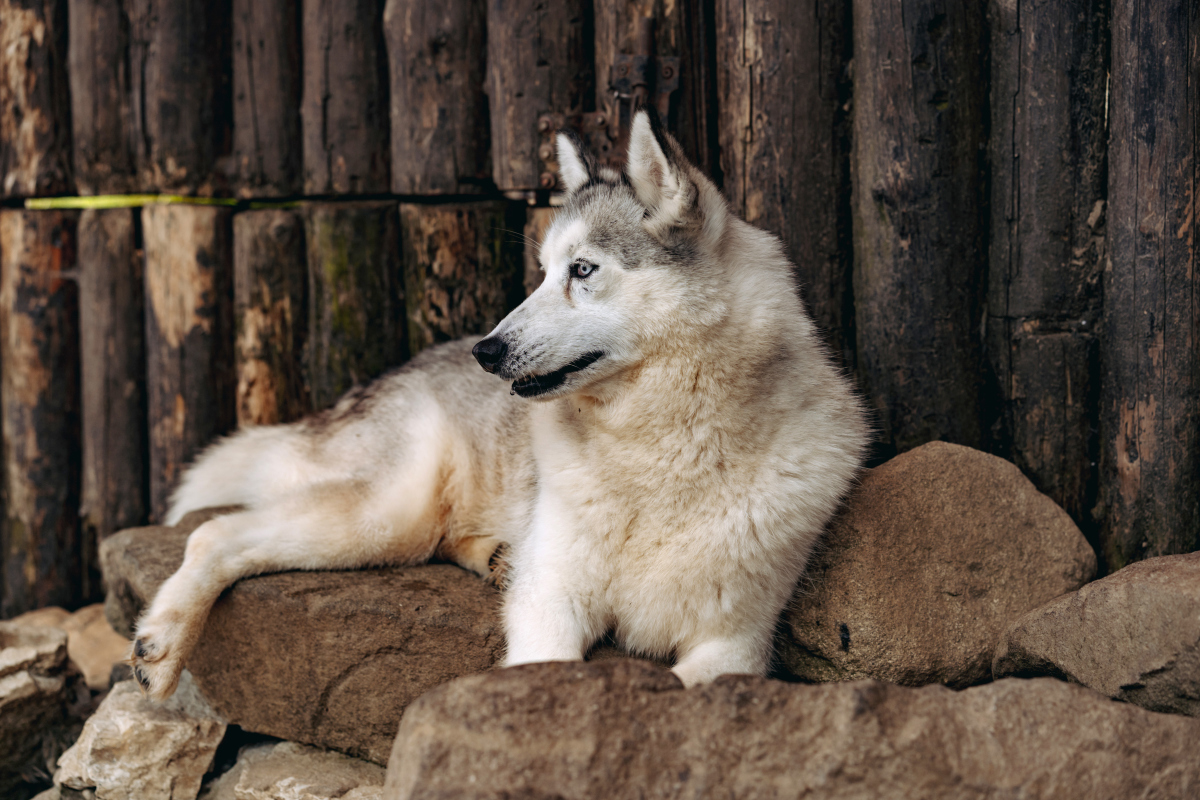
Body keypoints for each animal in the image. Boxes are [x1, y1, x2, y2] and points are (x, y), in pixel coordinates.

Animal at [129, 110, 864, 700]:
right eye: (541, 272)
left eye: (582, 270)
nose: (488, 349)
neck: (660, 451)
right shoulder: (551, 601)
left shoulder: (735, 644)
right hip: (386, 518)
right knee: (214, 533)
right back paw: (161, 645)